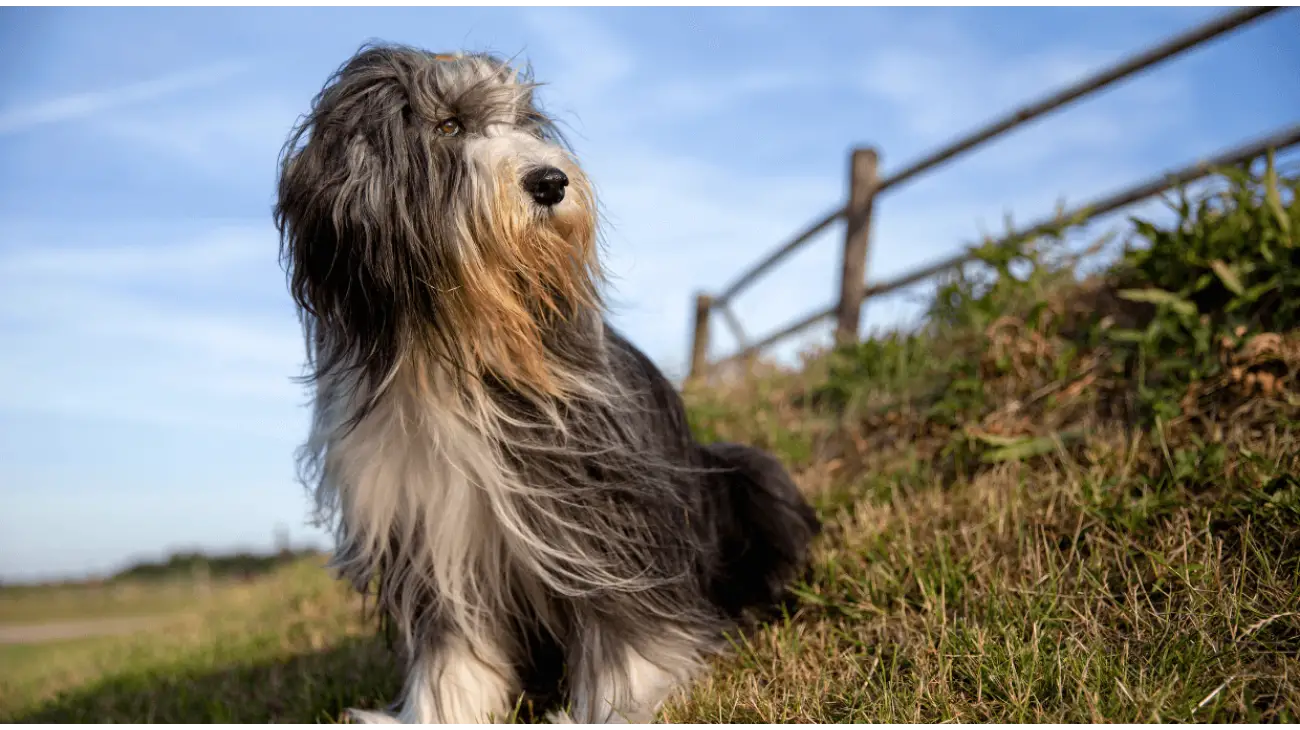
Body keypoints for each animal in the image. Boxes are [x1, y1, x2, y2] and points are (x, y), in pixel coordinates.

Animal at [271, 45, 821, 722]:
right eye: (448, 126)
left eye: (521, 124)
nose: (551, 182)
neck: (457, 352)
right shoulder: (430, 537)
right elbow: (452, 654)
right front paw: (436, 714)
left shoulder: (601, 515)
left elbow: (630, 630)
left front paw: (612, 709)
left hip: (750, 475)